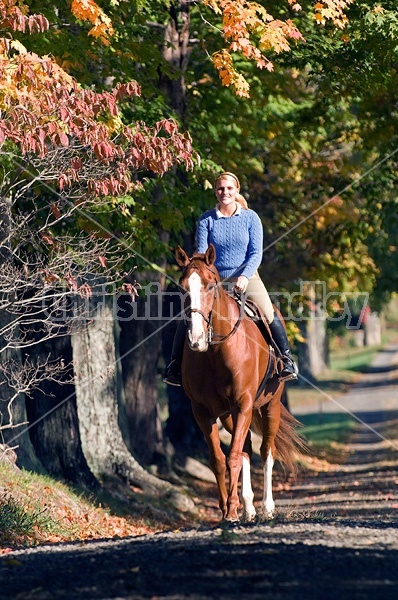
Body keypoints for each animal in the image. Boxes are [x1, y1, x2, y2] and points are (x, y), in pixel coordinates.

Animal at [176, 243, 304, 520]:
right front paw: (227, 508)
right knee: (246, 449)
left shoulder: (243, 403)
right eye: (182, 287)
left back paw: (267, 507)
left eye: (210, 286)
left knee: (266, 451)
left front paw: (232, 511)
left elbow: (233, 456)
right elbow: (218, 459)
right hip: (229, 416)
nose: (196, 338)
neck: (215, 353)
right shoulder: (202, 412)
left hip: (269, 407)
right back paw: (248, 506)